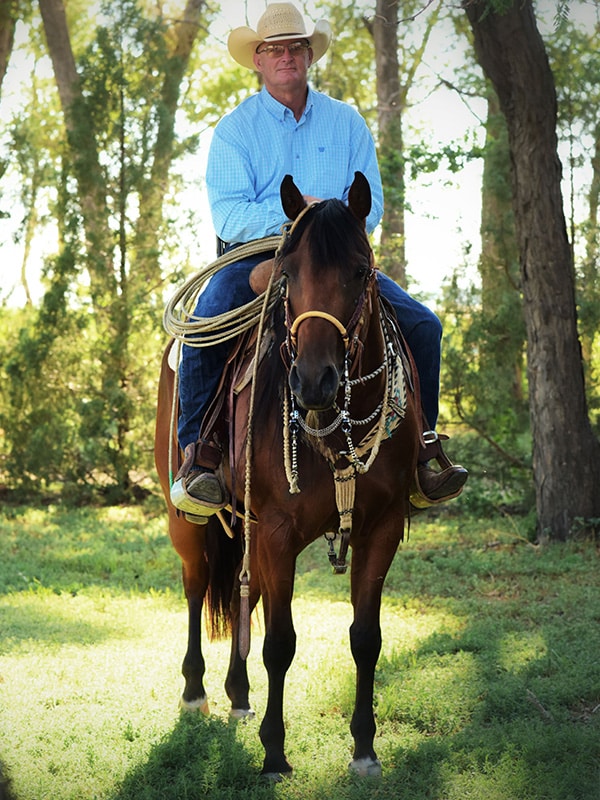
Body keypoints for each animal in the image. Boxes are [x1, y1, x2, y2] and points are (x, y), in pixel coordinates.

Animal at [155, 172, 420, 780]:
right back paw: (195, 692)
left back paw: (238, 693)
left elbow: (365, 639)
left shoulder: (381, 527)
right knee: (196, 583)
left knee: (242, 593)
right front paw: (274, 754)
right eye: (289, 273)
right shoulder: (277, 531)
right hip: (186, 518)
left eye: (360, 270)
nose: (314, 382)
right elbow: (280, 643)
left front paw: (364, 749)